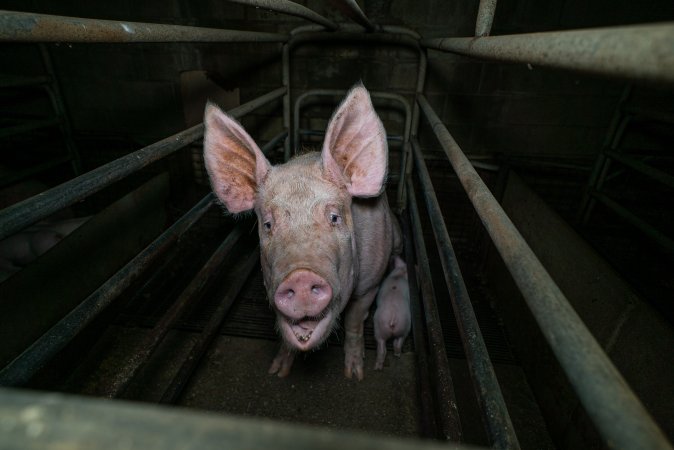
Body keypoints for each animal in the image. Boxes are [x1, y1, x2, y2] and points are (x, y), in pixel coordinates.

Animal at [202, 82, 402, 378]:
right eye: (268, 224)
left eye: (334, 217)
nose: (300, 277)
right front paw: (277, 371)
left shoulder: (370, 284)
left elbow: (355, 320)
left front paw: (354, 374)